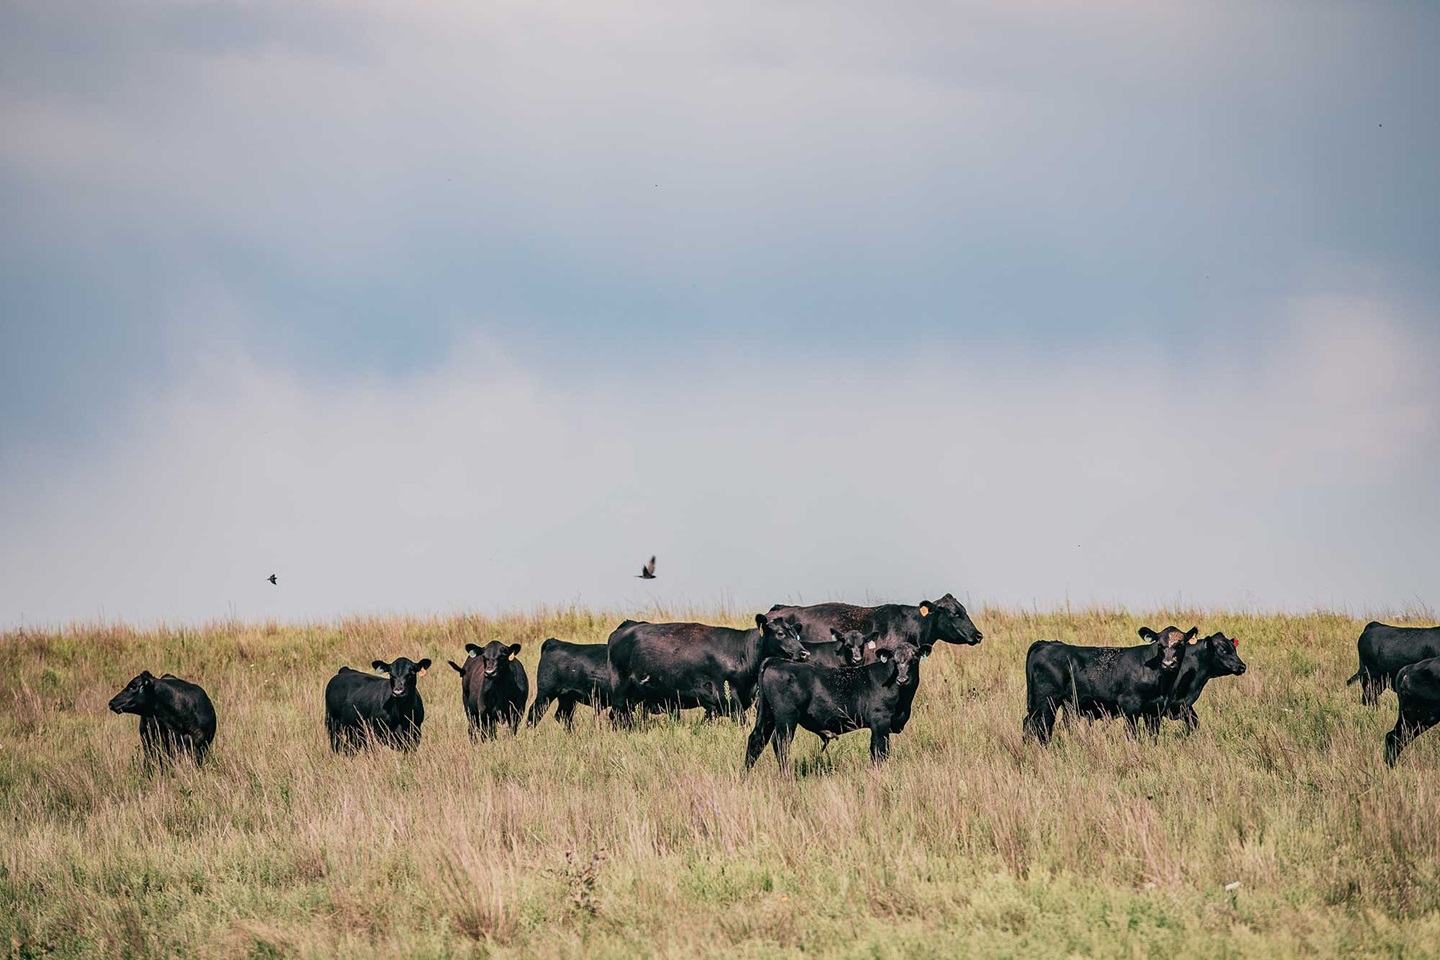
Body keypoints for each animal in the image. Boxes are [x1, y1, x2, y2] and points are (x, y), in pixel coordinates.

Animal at [607, 613, 812, 725]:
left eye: (796, 634)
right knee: (618, 716)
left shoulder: (715, 705)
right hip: (620, 691)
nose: (804, 653)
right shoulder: (727, 697)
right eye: (780, 633)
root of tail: (626, 626)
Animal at [743, 641, 933, 771]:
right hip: (786, 718)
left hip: (767, 715)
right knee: (780, 743)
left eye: (914, 658)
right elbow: (880, 751)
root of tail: (776, 660)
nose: (903, 679)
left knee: (756, 740)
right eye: (894, 659)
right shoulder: (880, 721)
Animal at [1019, 627, 1198, 748]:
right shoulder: (1130, 706)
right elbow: (1131, 733)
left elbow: (1152, 735)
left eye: (1180, 644)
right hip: (1047, 700)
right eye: (1160, 645)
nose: (1168, 663)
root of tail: (1046, 644)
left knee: (1029, 723)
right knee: (1042, 725)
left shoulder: (1155, 710)